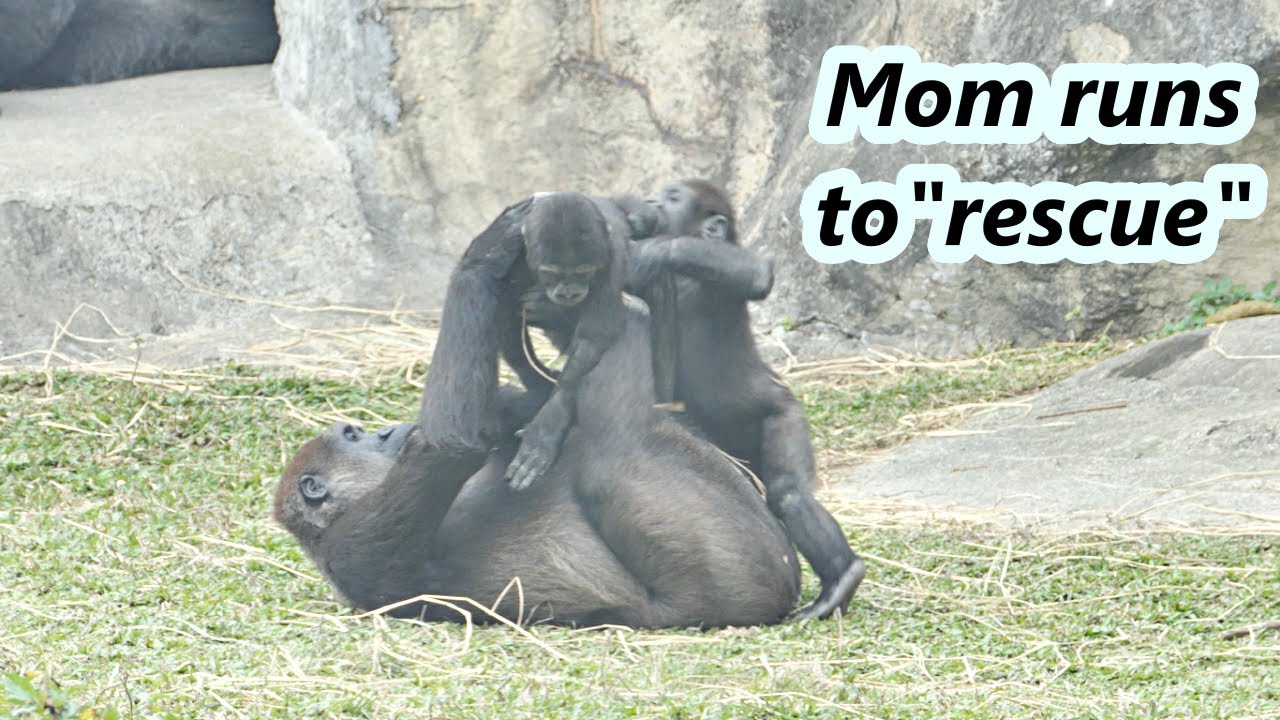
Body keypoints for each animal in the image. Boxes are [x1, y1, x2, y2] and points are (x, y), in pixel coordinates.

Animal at [274, 241, 801, 627]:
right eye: (358, 438)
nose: (390, 430)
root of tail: (783, 599)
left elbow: (510, 410)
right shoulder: (360, 544)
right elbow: (452, 445)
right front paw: (489, 253)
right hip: (724, 590)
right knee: (613, 451)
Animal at [625, 179, 866, 621]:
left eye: (672, 197)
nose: (649, 201)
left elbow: (754, 273)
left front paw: (649, 249)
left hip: (783, 413)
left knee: (788, 492)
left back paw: (842, 578)